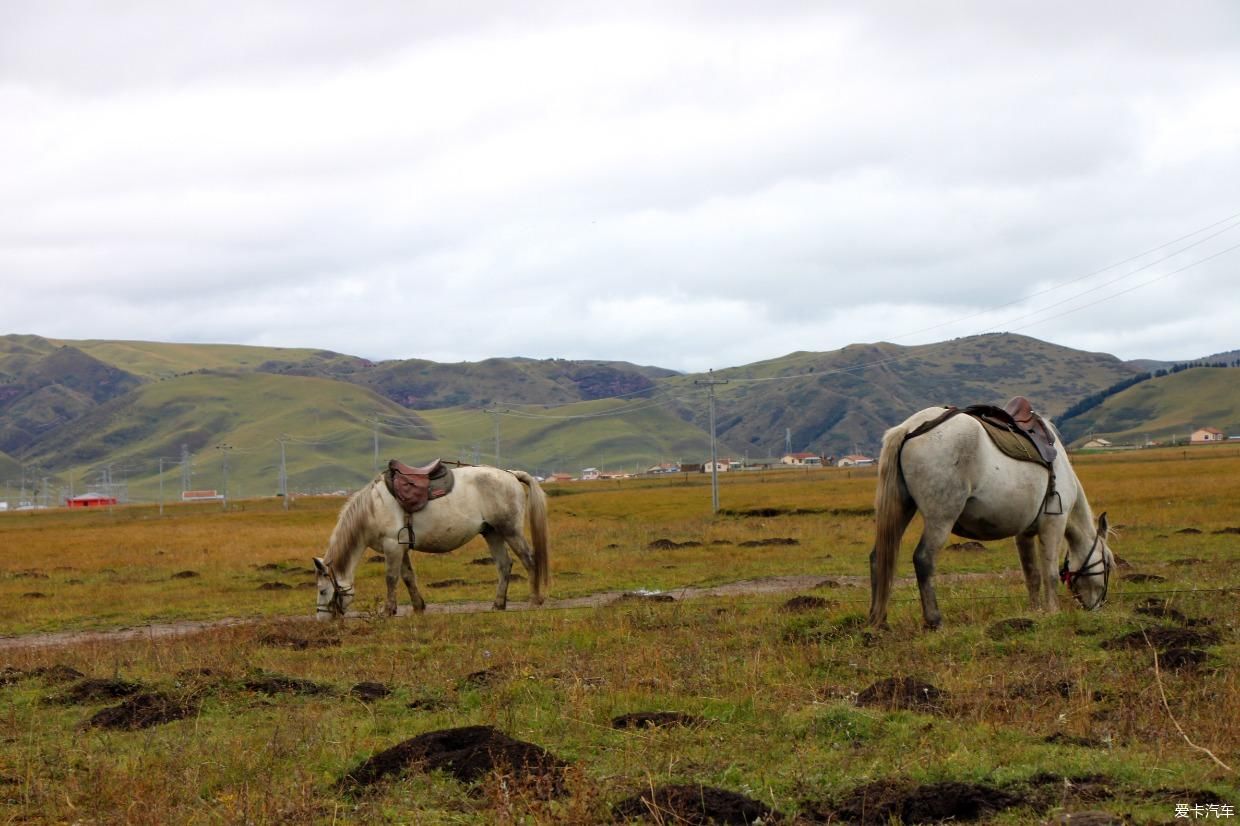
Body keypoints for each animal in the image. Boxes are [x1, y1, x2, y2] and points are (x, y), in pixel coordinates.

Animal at [317, 463, 550, 617]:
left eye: (322, 590)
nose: (322, 618)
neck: (373, 508)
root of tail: (511, 475)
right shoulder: (400, 548)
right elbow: (408, 577)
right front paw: (418, 607)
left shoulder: (391, 546)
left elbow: (391, 578)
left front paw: (387, 611)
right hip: (492, 533)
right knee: (504, 565)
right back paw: (498, 604)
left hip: (510, 531)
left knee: (529, 560)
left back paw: (534, 600)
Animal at [868, 404, 1120, 625]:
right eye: (1108, 562)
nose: (1098, 606)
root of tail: (909, 427)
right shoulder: (1053, 524)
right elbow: (1049, 574)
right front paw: (1052, 612)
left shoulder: (1024, 534)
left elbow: (1032, 575)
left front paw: (1035, 611)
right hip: (941, 518)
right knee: (923, 559)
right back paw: (934, 620)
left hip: (902, 509)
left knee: (877, 558)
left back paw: (878, 620)